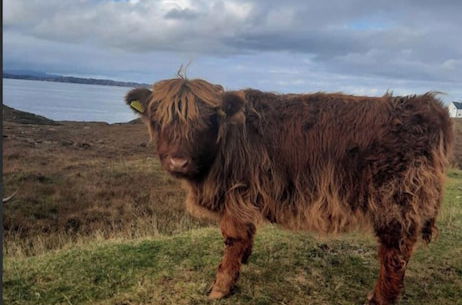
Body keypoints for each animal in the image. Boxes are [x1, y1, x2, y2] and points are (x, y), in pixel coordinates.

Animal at [125, 79, 452, 304]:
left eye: (206, 119)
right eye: (157, 119)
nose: (178, 161)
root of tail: (424, 105)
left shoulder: (235, 195)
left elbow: (232, 238)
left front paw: (221, 287)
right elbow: (246, 235)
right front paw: (245, 260)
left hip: (396, 201)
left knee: (394, 252)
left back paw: (379, 298)